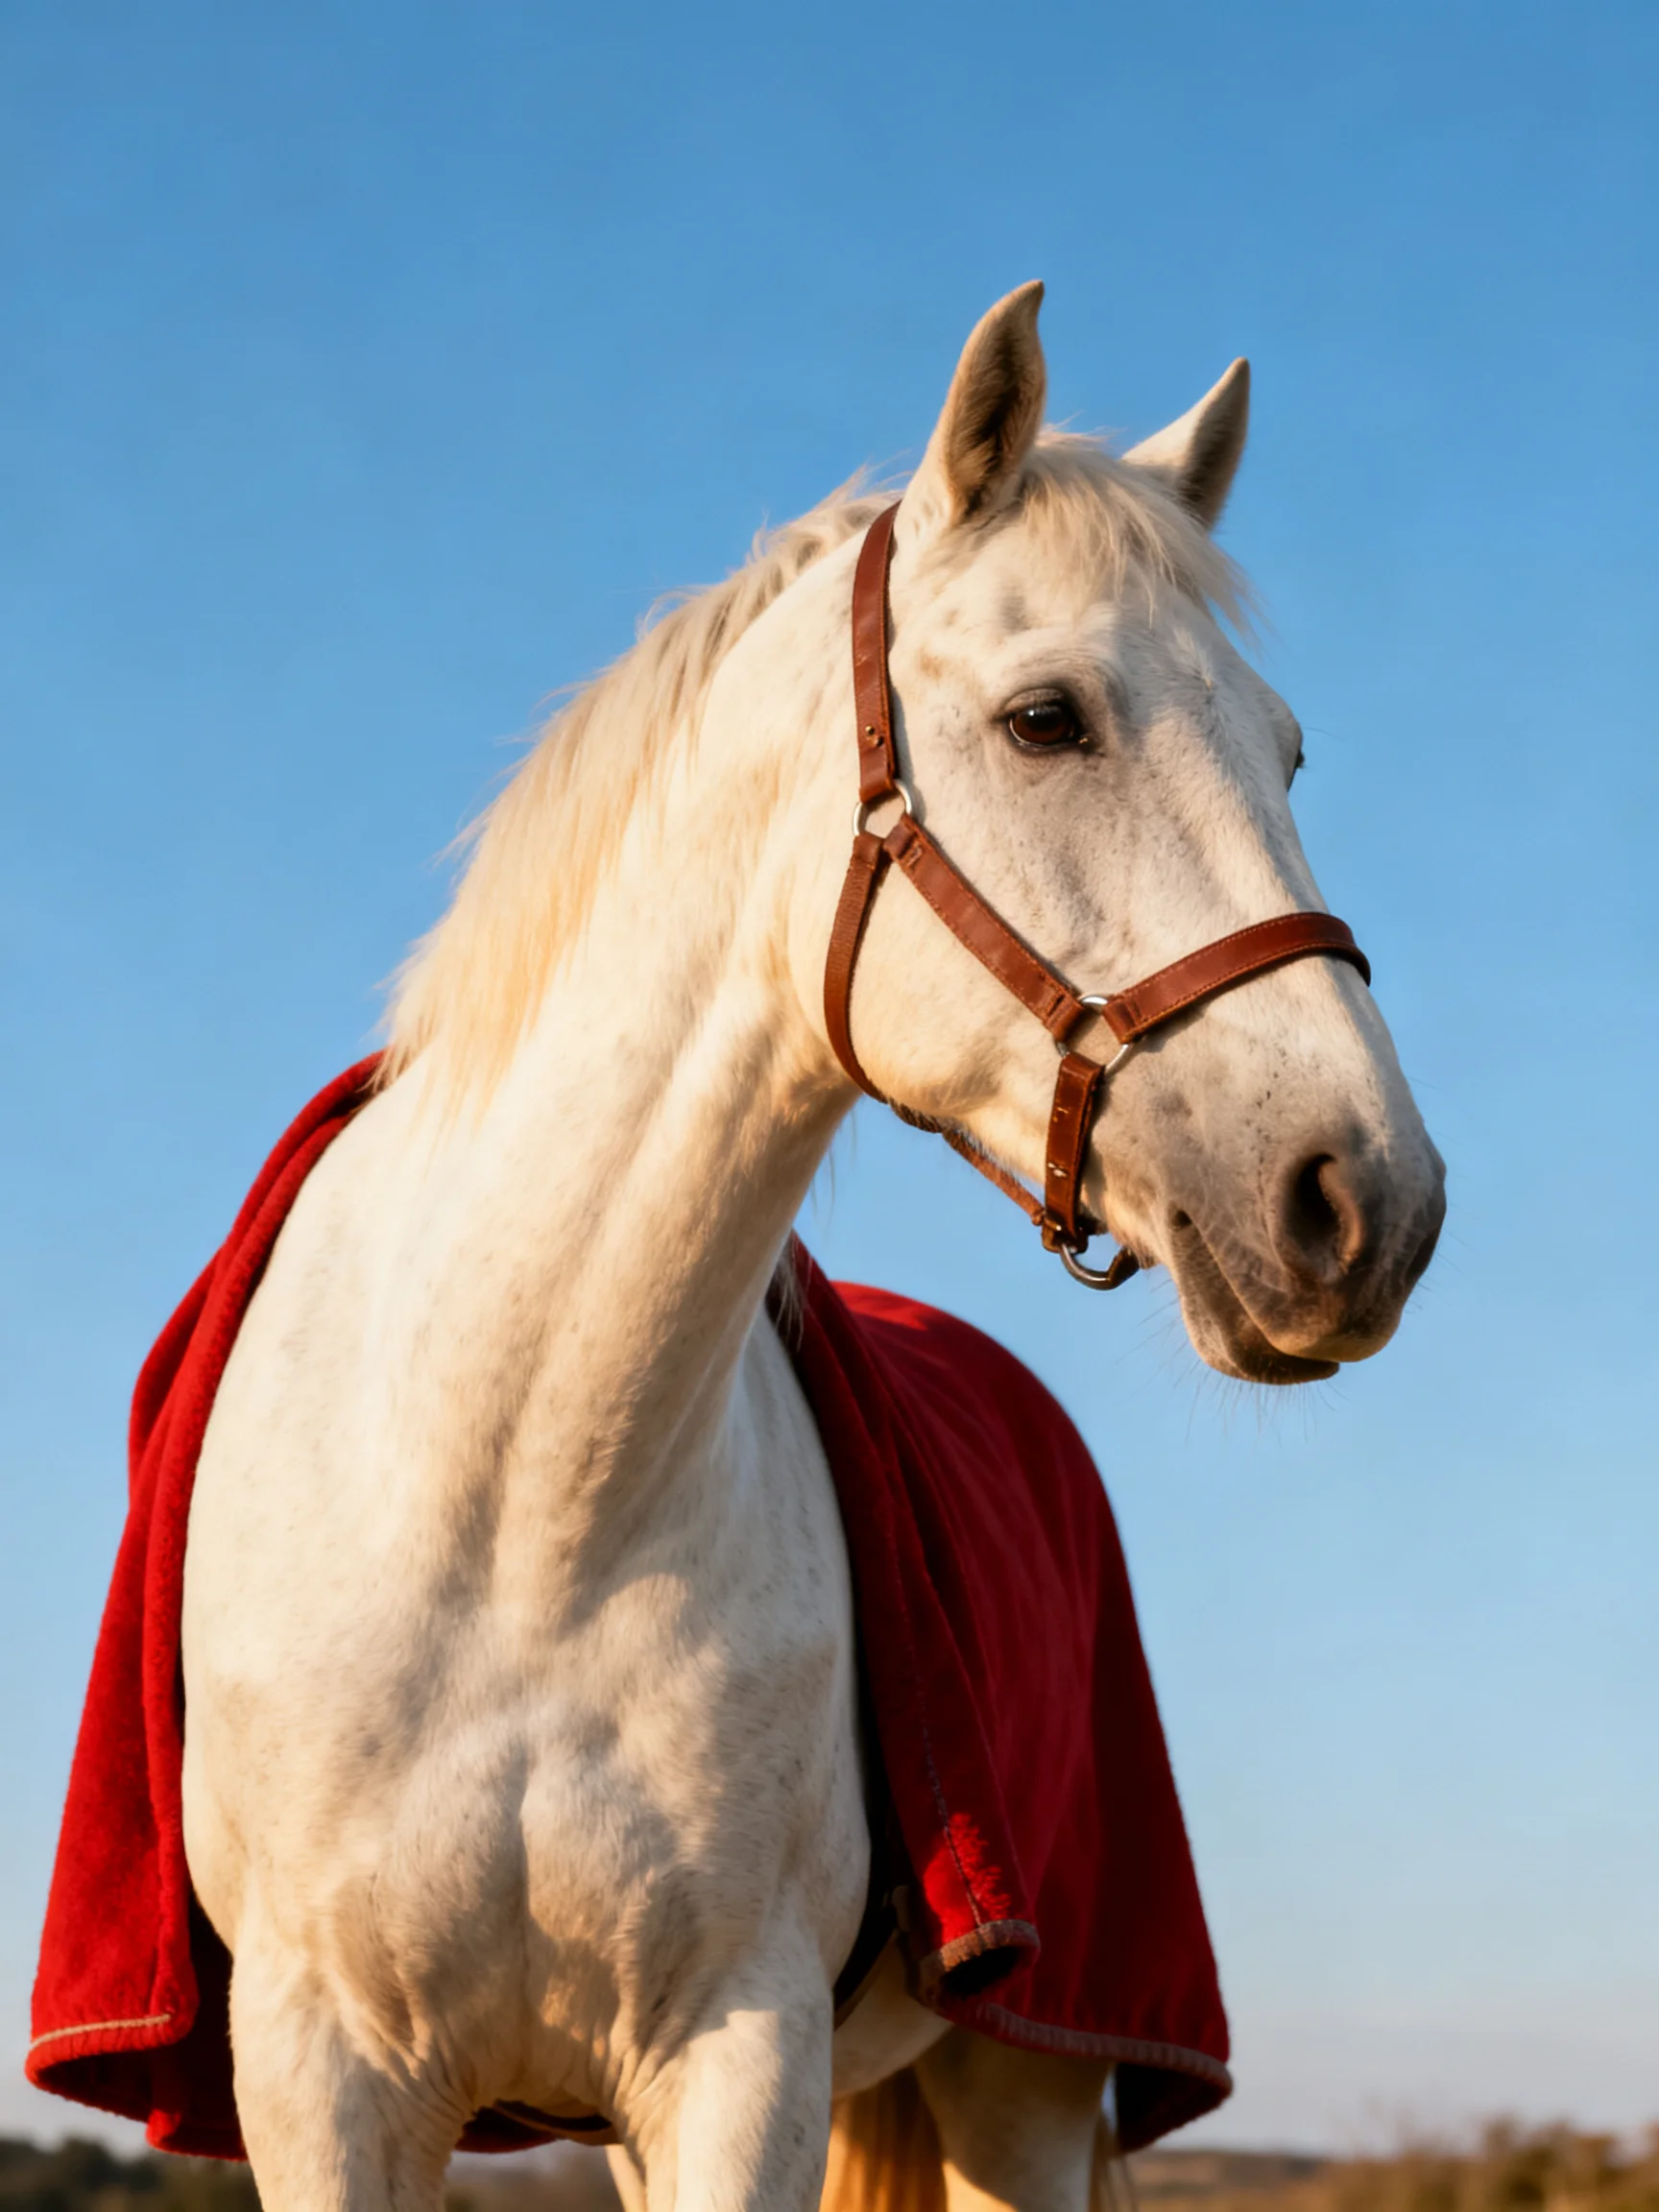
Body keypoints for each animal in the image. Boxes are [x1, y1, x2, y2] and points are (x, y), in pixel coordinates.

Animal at [177, 282, 1445, 2212]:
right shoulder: (326, 2076)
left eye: (1288, 749)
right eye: (1047, 718)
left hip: (1020, 2091)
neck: (507, 1501)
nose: (1366, 1199)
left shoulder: (736, 2060)